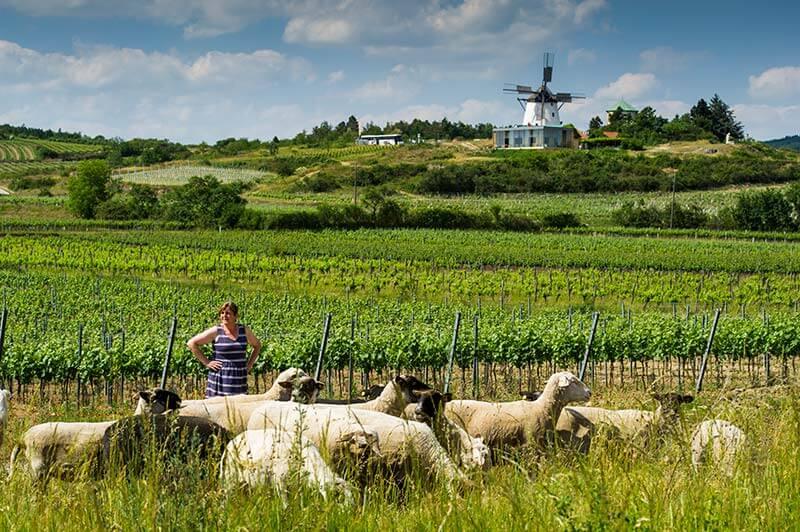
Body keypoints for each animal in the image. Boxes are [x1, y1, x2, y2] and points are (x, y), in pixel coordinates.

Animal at [219, 426, 362, 504]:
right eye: (339, 497)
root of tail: (232, 441)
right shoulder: (280, 481)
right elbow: (285, 503)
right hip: (229, 477)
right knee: (225, 497)